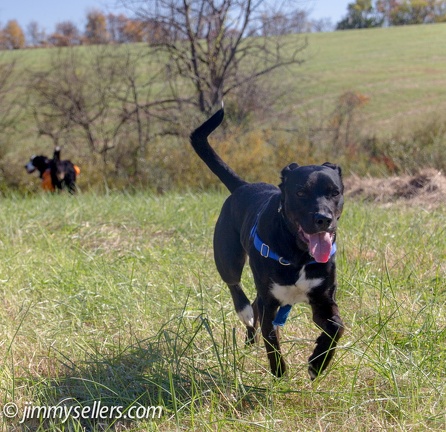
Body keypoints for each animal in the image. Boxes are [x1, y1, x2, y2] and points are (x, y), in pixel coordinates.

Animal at [190, 108, 346, 378]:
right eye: (300, 192)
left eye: (334, 192)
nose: (323, 218)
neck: (299, 255)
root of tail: (243, 186)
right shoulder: (272, 302)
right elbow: (272, 338)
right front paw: (280, 372)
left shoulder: (323, 299)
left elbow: (336, 327)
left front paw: (318, 363)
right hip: (227, 256)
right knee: (237, 287)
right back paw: (244, 311)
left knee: (255, 305)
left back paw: (250, 341)